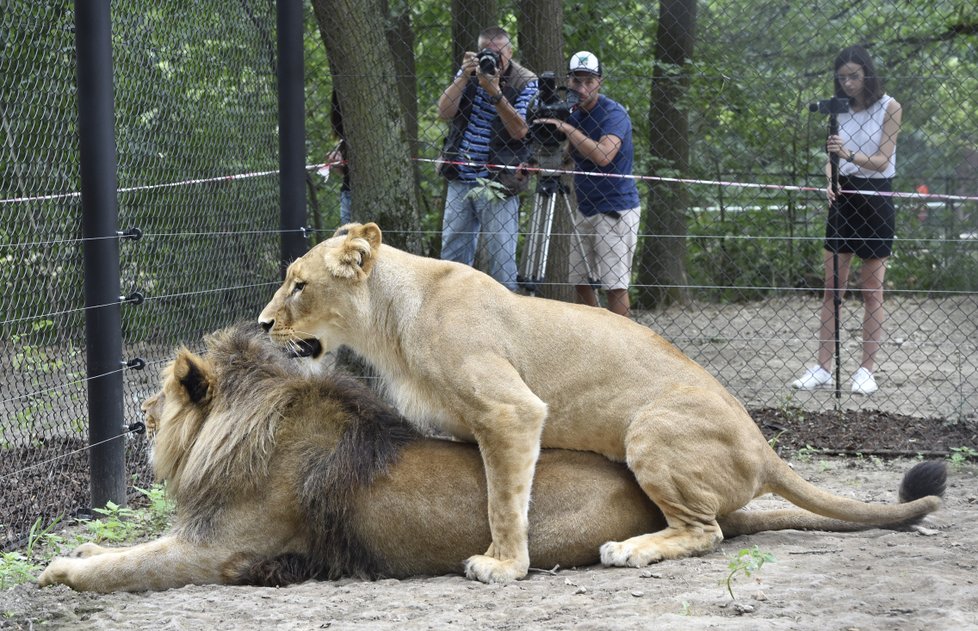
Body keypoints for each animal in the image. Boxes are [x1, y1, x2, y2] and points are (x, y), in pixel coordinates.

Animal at [258, 225, 944, 584]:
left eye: (299, 285)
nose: (263, 324)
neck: (387, 328)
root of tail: (764, 445)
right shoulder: (469, 429)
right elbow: (482, 491)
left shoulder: (512, 411)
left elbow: (505, 501)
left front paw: (504, 565)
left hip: (651, 429)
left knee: (709, 531)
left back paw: (633, 549)